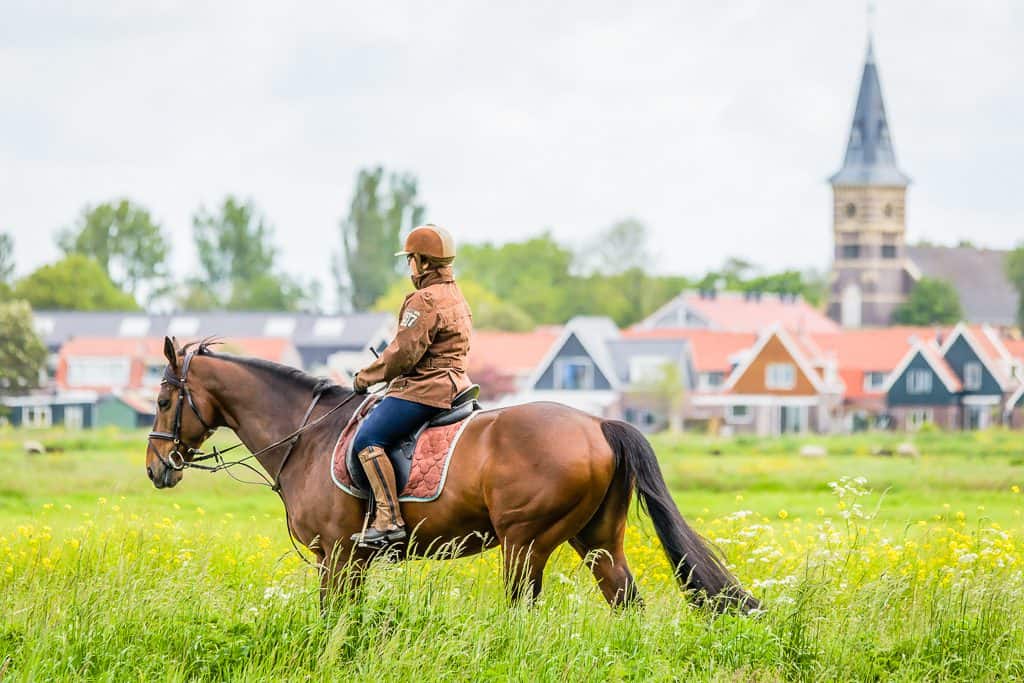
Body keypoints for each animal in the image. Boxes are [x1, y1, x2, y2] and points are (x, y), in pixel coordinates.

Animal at [144, 339, 757, 610]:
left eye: (164, 398)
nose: (156, 468)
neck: (306, 436)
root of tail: (599, 422)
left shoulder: (337, 557)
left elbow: (334, 617)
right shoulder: (349, 562)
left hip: (526, 543)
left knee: (522, 608)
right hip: (596, 539)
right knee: (624, 597)